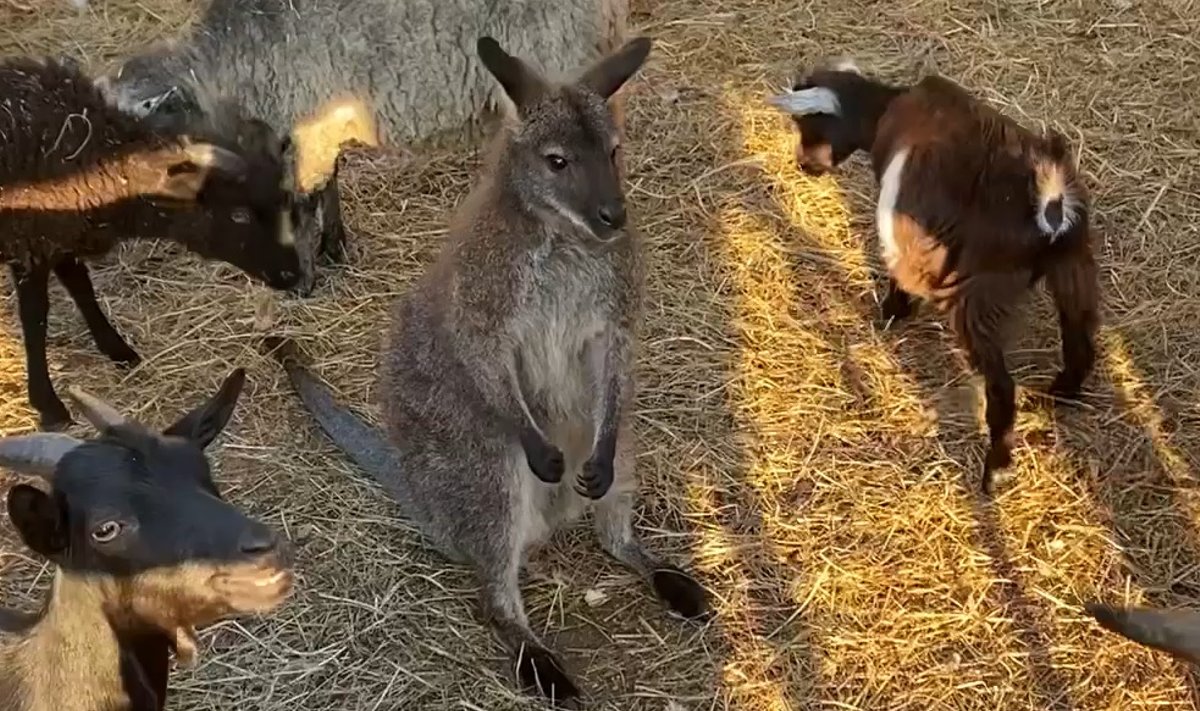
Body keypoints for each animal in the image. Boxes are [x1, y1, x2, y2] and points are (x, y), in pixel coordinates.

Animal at [0, 55, 307, 429]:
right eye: (238, 215)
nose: (293, 275)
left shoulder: (63, 235)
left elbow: (82, 288)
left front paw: (117, 349)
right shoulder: (30, 243)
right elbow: (36, 319)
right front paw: (49, 406)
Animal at [264, 34, 710, 706]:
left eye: (613, 151)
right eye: (557, 161)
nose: (615, 216)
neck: (561, 237)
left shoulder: (612, 321)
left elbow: (614, 355)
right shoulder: (483, 315)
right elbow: (486, 360)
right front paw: (546, 456)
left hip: (618, 438)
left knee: (612, 527)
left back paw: (671, 580)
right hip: (485, 467)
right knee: (492, 595)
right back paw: (545, 669)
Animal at [768, 61, 1099, 494]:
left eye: (808, 124)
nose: (804, 165)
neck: (888, 106)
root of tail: (1049, 201)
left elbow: (896, 266)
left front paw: (892, 311)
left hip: (977, 296)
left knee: (1001, 386)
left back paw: (995, 471)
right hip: (1074, 270)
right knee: (1081, 345)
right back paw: (1060, 396)